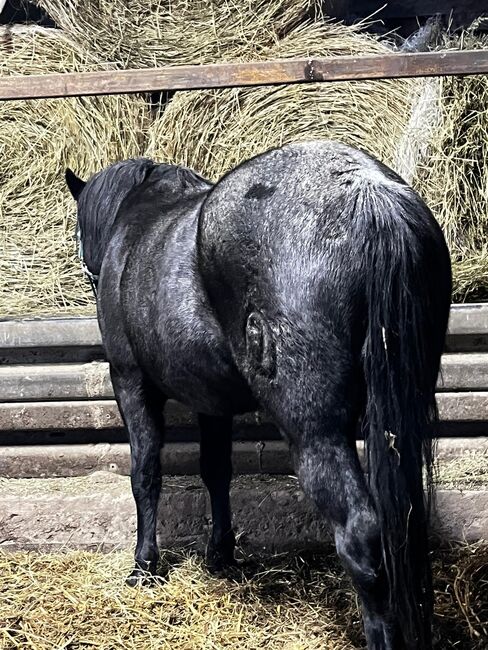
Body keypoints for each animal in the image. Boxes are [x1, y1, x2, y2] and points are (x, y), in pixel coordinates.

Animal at [66, 142, 452, 648]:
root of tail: (370, 196)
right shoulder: (211, 403)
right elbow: (216, 471)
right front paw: (220, 555)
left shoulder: (130, 382)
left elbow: (145, 473)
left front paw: (144, 566)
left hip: (315, 432)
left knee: (359, 532)